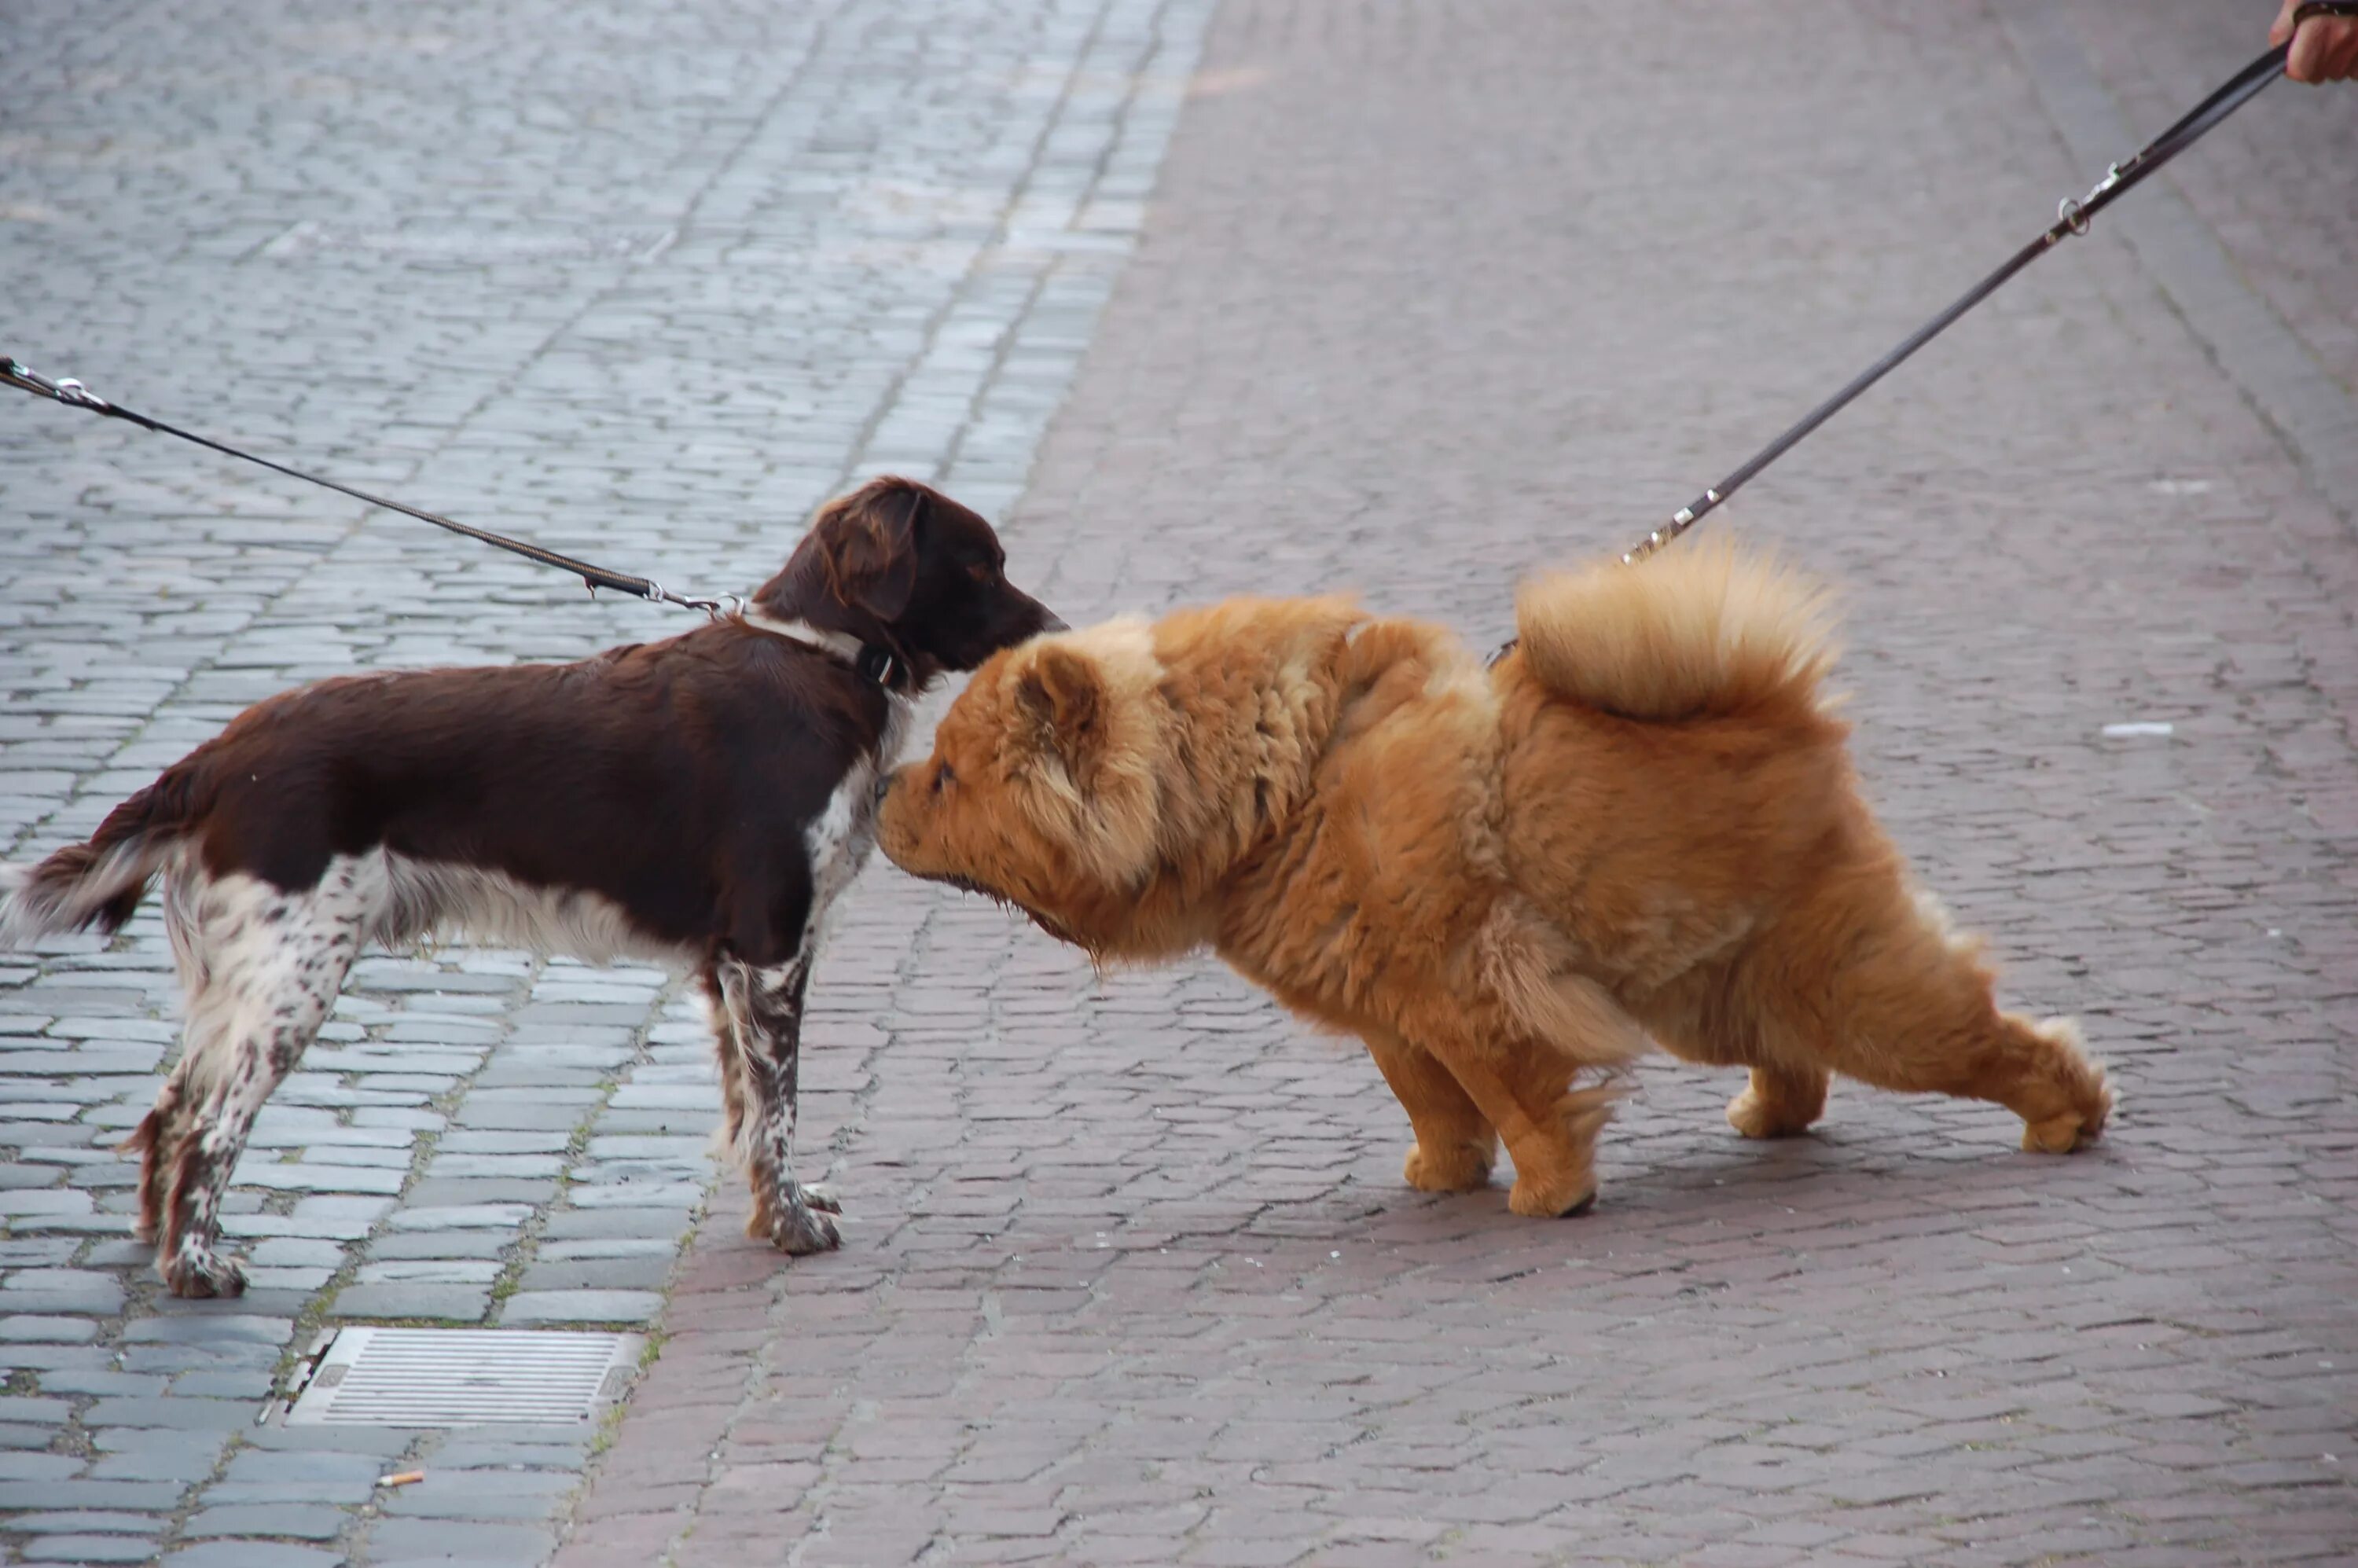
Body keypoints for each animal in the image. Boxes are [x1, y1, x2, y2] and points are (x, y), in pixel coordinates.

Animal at [0, 476, 1056, 1292]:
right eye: (980, 565)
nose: (1057, 630)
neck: (822, 660)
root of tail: (216, 758)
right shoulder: (769, 949)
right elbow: (780, 1108)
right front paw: (795, 1229)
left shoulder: (730, 965)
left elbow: (749, 1115)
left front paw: (774, 1213)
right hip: (294, 973)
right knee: (211, 1129)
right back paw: (196, 1269)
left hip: (244, 977)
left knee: (172, 1108)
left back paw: (157, 1246)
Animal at [877, 538, 2113, 1226]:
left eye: (946, 775)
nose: (882, 782)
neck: (1277, 790)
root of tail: (1778, 715)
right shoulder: (1392, 1011)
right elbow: (1432, 1098)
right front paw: (1443, 1172)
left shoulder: (1472, 985)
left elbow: (1517, 1095)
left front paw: (1549, 1192)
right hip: (1717, 986)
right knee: (1797, 1064)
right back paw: (1768, 1116)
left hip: (1848, 986)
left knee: (1994, 1038)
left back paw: (2068, 1118)